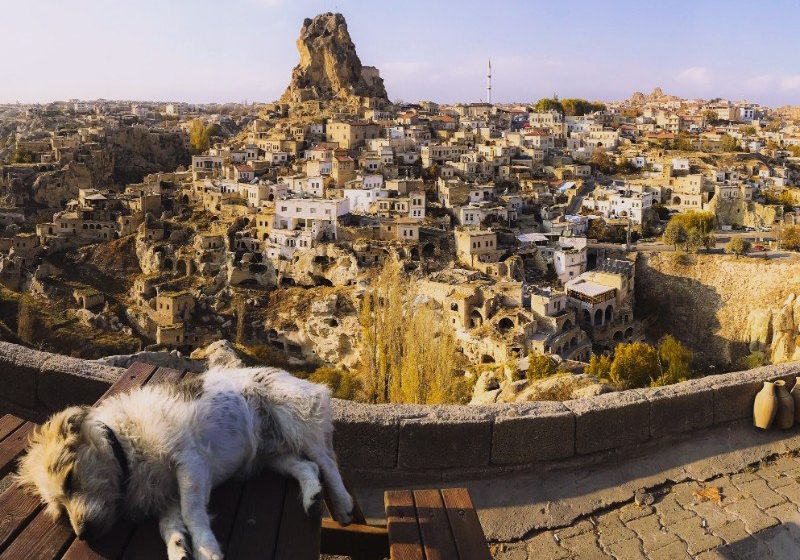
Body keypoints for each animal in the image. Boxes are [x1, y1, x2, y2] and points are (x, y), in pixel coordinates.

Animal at [14, 368, 354, 560]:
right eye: (59, 508)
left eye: (70, 480)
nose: (83, 535)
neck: (125, 448)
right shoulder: (167, 496)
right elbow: (170, 526)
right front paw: (178, 549)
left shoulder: (190, 465)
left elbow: (192, 515)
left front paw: (207, 549)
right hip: (270, 454)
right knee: (306, 466)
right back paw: (312, 497)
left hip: (297, 420)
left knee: (327, 462)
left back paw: (342, 503)